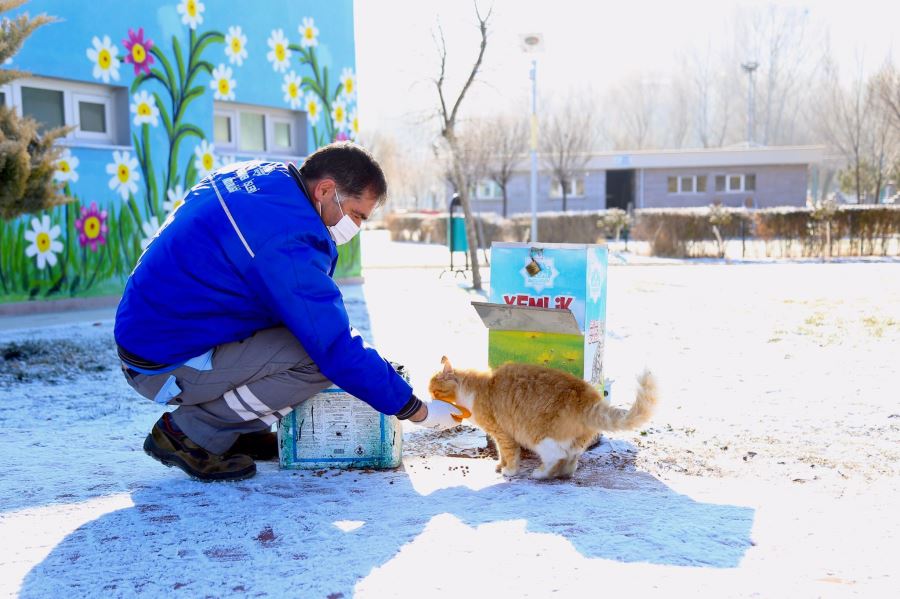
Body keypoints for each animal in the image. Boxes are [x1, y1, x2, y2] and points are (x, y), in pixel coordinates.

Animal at [428, 358, 652, 480]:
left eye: (435, 391)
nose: (429, 398)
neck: (475, 388)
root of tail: (588, 397)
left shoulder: (502, 433)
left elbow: (510, 454)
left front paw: (509, 471)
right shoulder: (498, 435)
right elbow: (501, 453)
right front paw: (500, 465)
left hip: (539, 438)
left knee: (557, 456)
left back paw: (540, 474)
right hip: (574, 443)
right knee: (571, 460)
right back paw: (562, 474)